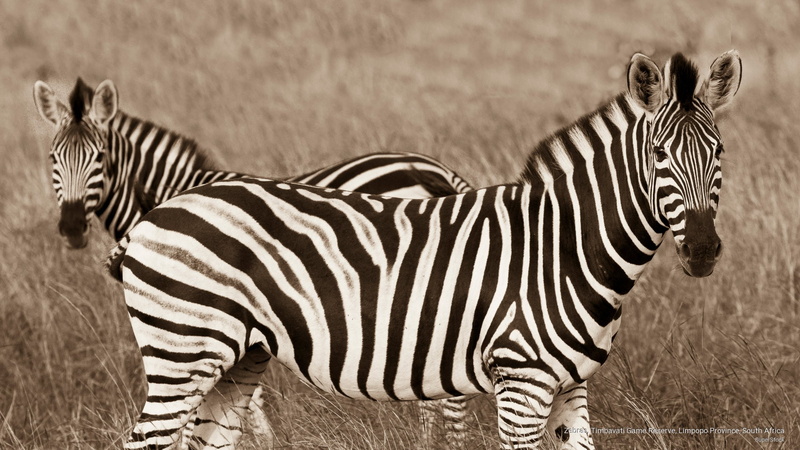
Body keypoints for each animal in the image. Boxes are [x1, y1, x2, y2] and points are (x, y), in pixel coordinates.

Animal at [108, 51, 741, 449]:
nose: (703, 251)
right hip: (181, 351)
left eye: (720, 152)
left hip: (237, 358)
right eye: (658, 153)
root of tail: (153, 216)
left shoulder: (571, 385)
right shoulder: (521, 381)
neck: (560, 247)